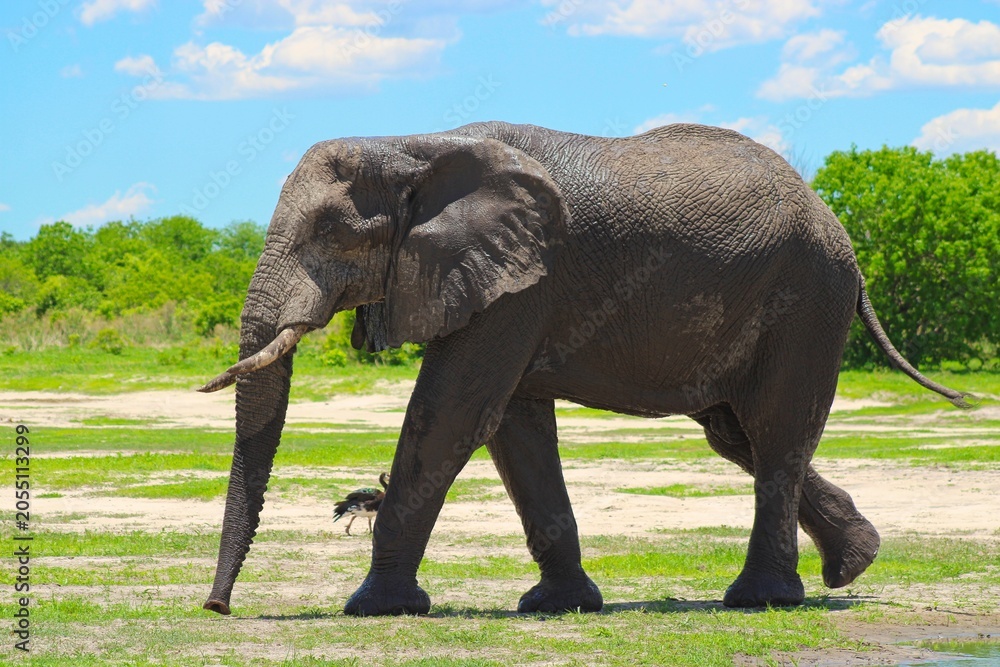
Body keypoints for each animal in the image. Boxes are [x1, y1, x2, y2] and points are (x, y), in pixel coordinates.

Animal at [197, 121, 969, 617]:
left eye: (330, 232)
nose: (217, 606)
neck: (412, 143)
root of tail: (835, 221)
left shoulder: (523, 281)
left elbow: (452, 414)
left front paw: (374, 608)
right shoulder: (509, 287)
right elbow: (513, 427)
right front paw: (556, 606)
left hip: (807, 296)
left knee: (776, 431)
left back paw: (762, 600)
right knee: (736, 433)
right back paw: (855, 563)